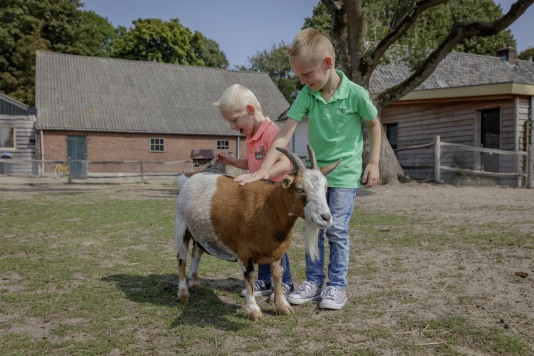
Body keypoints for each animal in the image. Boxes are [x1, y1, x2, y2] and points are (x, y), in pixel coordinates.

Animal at [178, 145, 342, 320]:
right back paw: (183, 293)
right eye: (299, 189)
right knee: (181, 259)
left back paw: (194, 283)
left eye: (326, 187)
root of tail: (192, 178)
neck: (267, 208)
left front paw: (283, 306)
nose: (326, 218)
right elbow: (249, 276)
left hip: (200, 232)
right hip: (181, 226)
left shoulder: (277, 252)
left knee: (196, 252)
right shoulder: (244, 252)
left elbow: (278, 275)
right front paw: (253, 310)